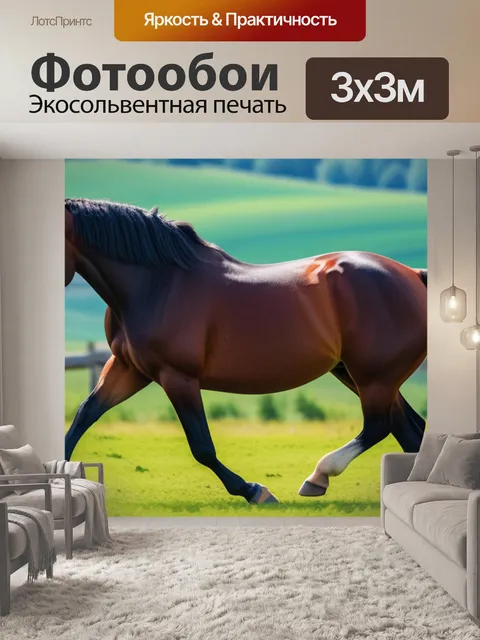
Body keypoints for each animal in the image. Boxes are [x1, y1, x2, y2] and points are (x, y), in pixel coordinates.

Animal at [65, 198, 427, 505]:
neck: (156, 284)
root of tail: (415, 275)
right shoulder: (129, 368)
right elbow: (83, 415)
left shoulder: (177, 376)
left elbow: (202, 447)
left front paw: (254, 490)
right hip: (359, 374)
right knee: (409, 432)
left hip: (374, 377)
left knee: (379, 427)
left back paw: (317, 477)